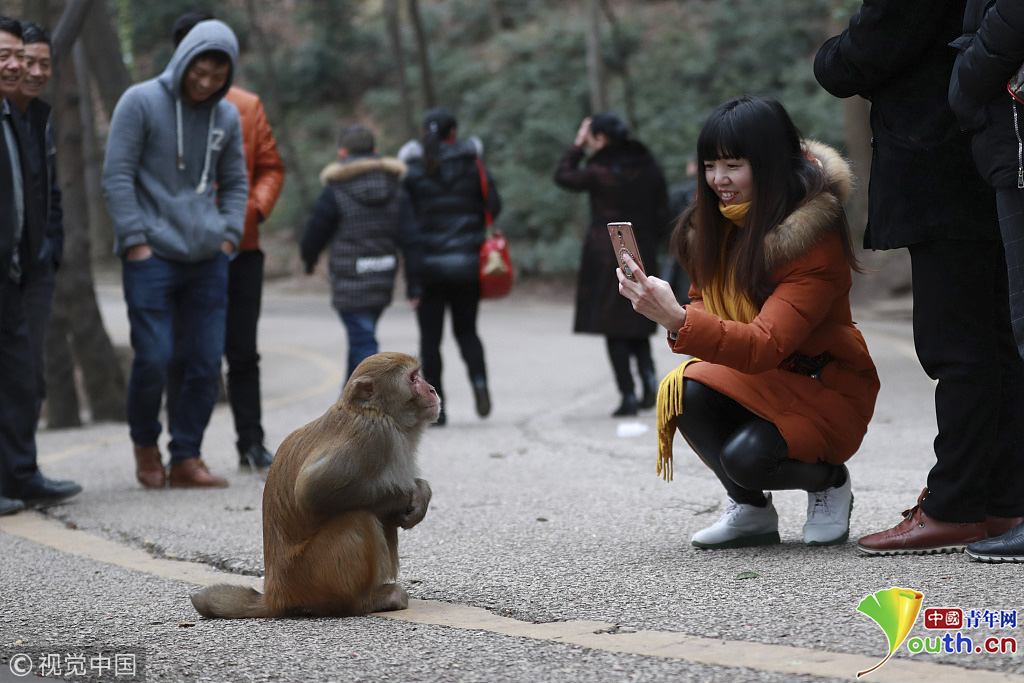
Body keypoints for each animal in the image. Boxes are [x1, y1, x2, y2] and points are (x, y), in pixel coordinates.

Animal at [192, 352, 440, 618]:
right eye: (413, 378)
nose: (433, 389)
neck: (378, 412)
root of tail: (275, 594)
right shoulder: (373, 437)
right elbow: (312, 490)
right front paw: (405, 496)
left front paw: (421, 494)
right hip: (311, 575)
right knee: (358, 516)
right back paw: (363, 601)